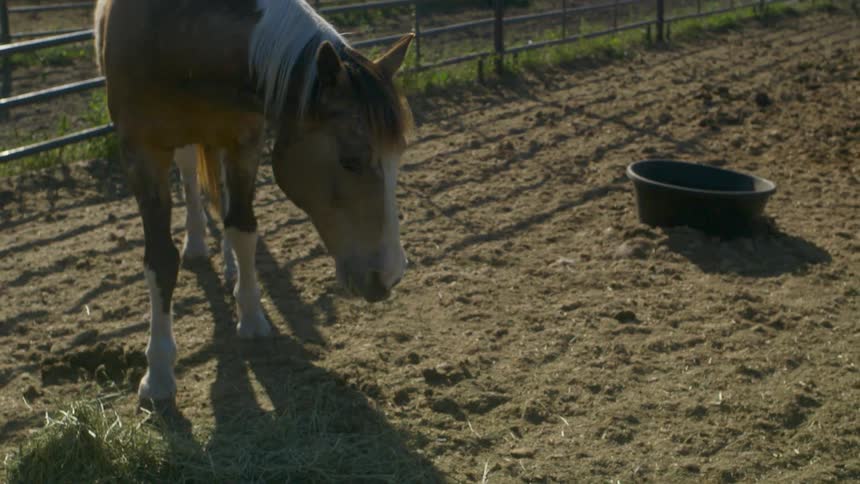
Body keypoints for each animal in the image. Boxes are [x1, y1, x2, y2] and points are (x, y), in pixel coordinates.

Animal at [94, 0, 415, 405]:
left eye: (399, 156)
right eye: (351, 159)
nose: (389, 275)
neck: (180, 32)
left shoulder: (244, 139)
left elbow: (243, 228)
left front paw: (250, 316)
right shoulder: (141, 153)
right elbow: (161, 260)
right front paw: (159, 373)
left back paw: (229, 264)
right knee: (190, 177)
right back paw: (196, 243)